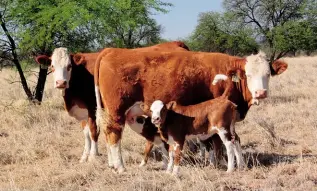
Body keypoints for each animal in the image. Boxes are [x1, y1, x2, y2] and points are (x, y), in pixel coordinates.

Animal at [34, 41, 189, 163]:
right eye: (52, 66)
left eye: (69, 66)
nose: (61, 83)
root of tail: (177, 43)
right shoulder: (83, 111)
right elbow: (86, 134)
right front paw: (84, 157)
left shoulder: (93, 108)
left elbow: (93, 131)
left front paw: (93, 156)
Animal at [93, 48, 286, 173]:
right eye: (248, 75)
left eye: (268, 74)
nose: (261, 93)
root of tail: (111, 50)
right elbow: (216, 143)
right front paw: (220, 163)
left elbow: (227, 140)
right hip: (116, 112)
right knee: (114, 135)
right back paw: (120, 167)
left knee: (107, 134)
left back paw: (112, 164)